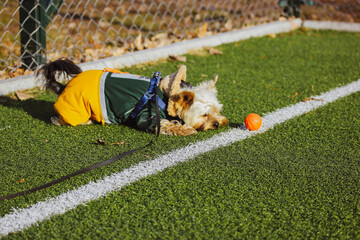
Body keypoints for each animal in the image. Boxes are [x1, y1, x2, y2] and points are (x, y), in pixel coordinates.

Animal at [37, 58, 228, 135]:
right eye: (205, 115)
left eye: (217, 111)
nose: (217, 123)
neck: (168, 96)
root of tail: (64, 87)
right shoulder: (148, 116)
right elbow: (163, 125)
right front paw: (184, 129)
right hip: (78, 107)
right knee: (58, 119)